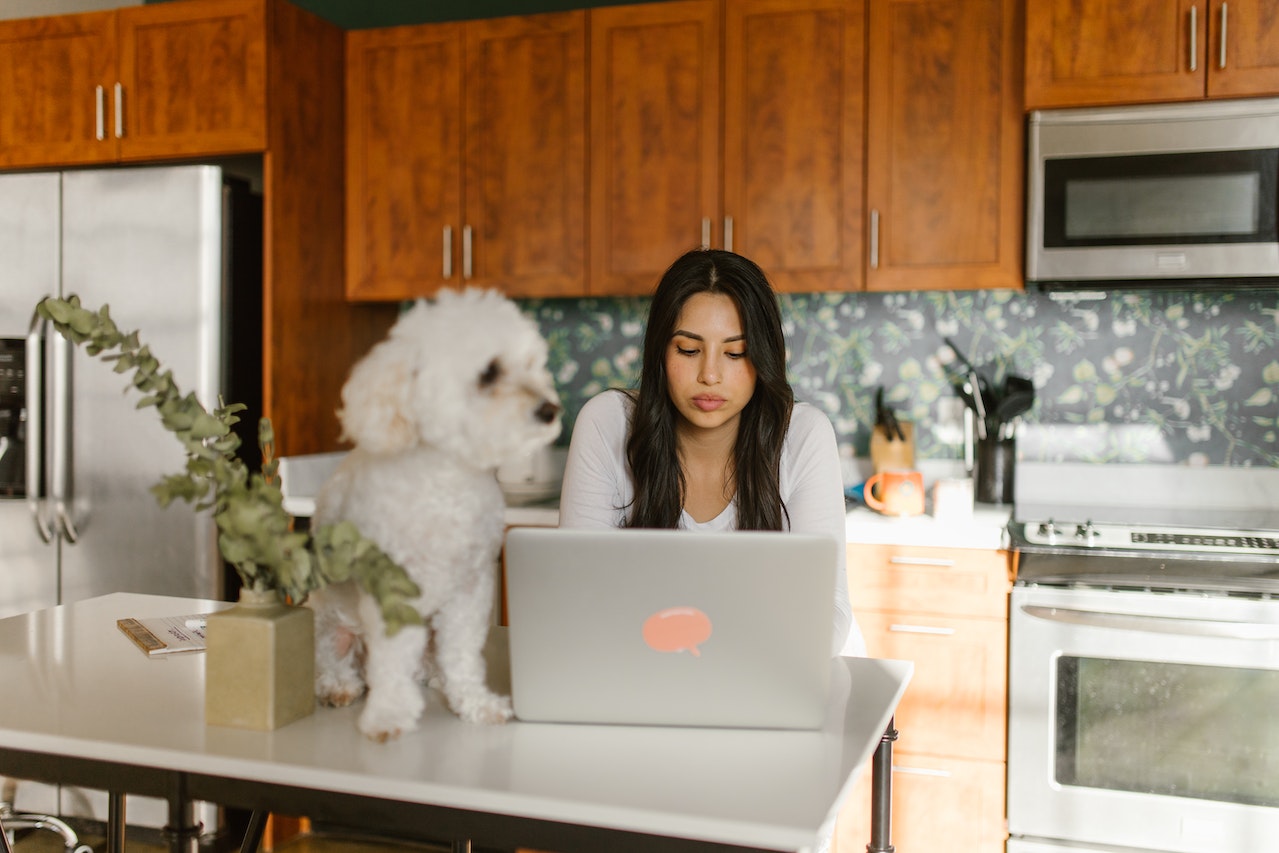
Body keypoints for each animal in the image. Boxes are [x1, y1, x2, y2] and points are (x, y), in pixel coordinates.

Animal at [306, 286, 562, 741]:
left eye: (532, 365)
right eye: (489, 372)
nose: (550, 409)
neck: (447, 481)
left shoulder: (471, 590)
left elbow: (462, 655)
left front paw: (475, 703)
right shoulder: (392, 591)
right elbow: (392, 662)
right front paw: (388, 715)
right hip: (326, 620)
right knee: (336, 663)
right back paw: (340, 685)